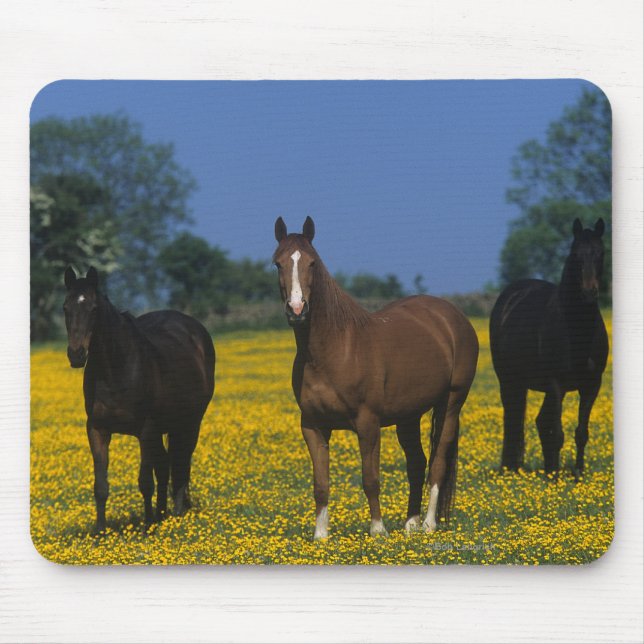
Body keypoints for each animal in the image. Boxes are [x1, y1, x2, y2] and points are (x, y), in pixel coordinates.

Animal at [63, 266, 215, 532]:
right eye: (65, 308)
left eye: (94, 309)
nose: (76, 354)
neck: (116, 369)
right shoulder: (97, 429)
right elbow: (100, 485)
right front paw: (100, 531)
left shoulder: (146, 430)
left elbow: (145, 481)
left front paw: (146, 527)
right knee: (166, 466)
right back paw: (163, 513)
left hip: (188, 424)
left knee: (181, 462)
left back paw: (176, 512)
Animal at [273, 217, 479, 538]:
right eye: (278, 263)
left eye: (312, 263)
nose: (297, 309)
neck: (333, 350)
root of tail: (453, 317)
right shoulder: (313, 426)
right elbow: (321, 484)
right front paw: (320, 536)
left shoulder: (367, 423)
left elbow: (370, 478)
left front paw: (378, 531)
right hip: (409, 415)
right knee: (417, 463)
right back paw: (410, 523)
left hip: (451, 403)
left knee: (438, 462)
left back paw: (429, 524)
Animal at [489, 218, 608, 476]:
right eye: (575, 255)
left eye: (601, 253)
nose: (589, 292)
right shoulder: (556, 384)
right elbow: (558, 433)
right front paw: (555, 478)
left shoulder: (591, 385)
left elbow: (581, 433)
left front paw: (577, 474)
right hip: (510, 381)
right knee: (513, 419)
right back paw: (512, 469)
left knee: (539, 421)